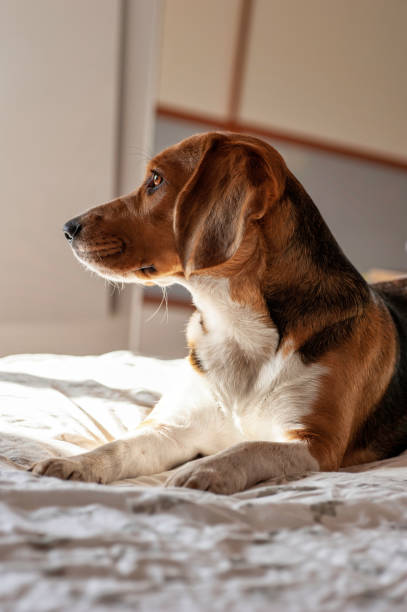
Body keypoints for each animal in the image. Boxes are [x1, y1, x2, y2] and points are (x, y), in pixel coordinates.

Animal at [29, 131, 407, 494]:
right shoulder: (172, 428)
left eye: (155, 180)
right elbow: (119, 447)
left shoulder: (317, 444)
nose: (68, 228)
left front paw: (204, 470)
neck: (237, 326)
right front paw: (75, 462)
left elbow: (248, 447)